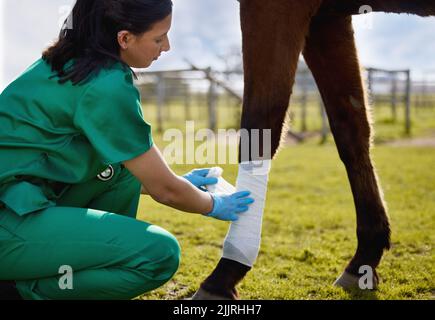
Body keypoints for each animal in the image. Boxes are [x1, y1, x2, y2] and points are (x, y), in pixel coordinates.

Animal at [193, 0, 435, 300]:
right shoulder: (327, 19)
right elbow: (351, 128)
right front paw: (363, 262)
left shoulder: (274, 8)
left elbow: (260, 124)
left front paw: (224, 274)